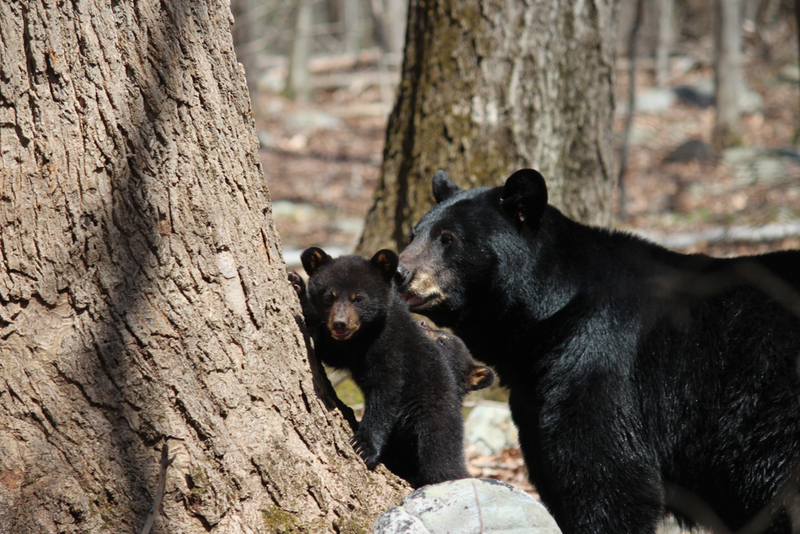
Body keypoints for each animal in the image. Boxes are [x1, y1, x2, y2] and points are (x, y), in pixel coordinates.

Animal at [294, 248, 482, 490]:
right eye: (329, 297)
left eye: (359, 298)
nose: (340, 324)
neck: (363, 338)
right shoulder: (345, 349)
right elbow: (326, 349)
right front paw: (297, 286)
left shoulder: (393, 349)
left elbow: (385, 394)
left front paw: (365, 446)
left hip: (432, 420)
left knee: (439, 461)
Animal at [396, 170, 800, 534]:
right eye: (415, 233)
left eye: (448, 238)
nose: (399, 271)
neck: (545, 322)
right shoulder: (535, 393)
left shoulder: (602, 357)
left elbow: (608, 475)